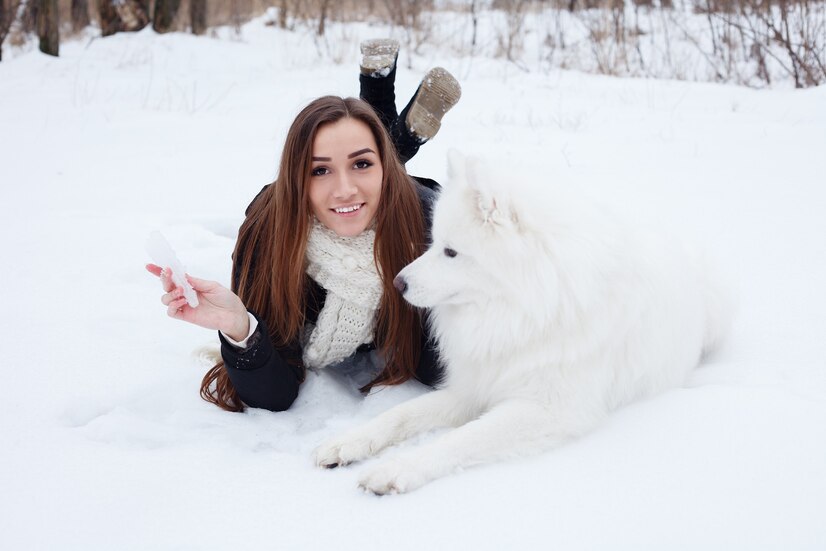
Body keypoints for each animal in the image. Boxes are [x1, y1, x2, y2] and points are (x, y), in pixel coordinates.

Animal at [314, 152, 728, 496]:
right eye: (433, 243)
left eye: (451, 252)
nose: (398, 284)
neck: (523, 311)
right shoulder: (475, 386)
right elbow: (400, 414)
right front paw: (348, 442)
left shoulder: (549, 409)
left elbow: (459, 439)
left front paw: (396, 469)